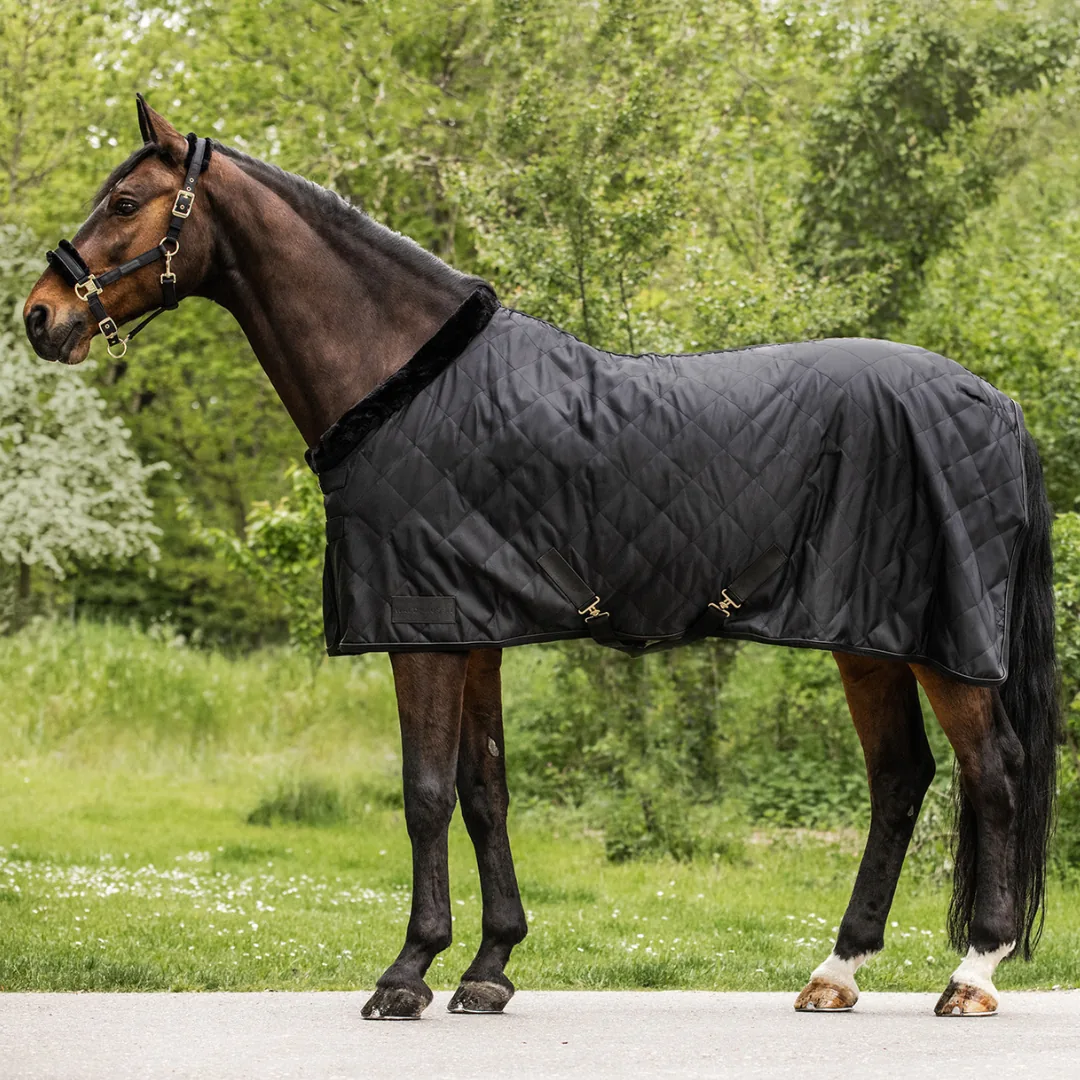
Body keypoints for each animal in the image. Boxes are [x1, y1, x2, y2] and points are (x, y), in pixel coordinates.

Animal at [24, 96, 1059, 1020]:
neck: (405, 381)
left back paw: (973, 973)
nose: (40, 316)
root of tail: (997, 405)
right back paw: (836, 972)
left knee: (995, 772)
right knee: (901, 780)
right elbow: (485, 793)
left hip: (943, 645)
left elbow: (425, 795)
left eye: (126, 201)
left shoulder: (427, 631)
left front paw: (407, 973)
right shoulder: (473, 628)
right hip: (869, 637)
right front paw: (489, 969)